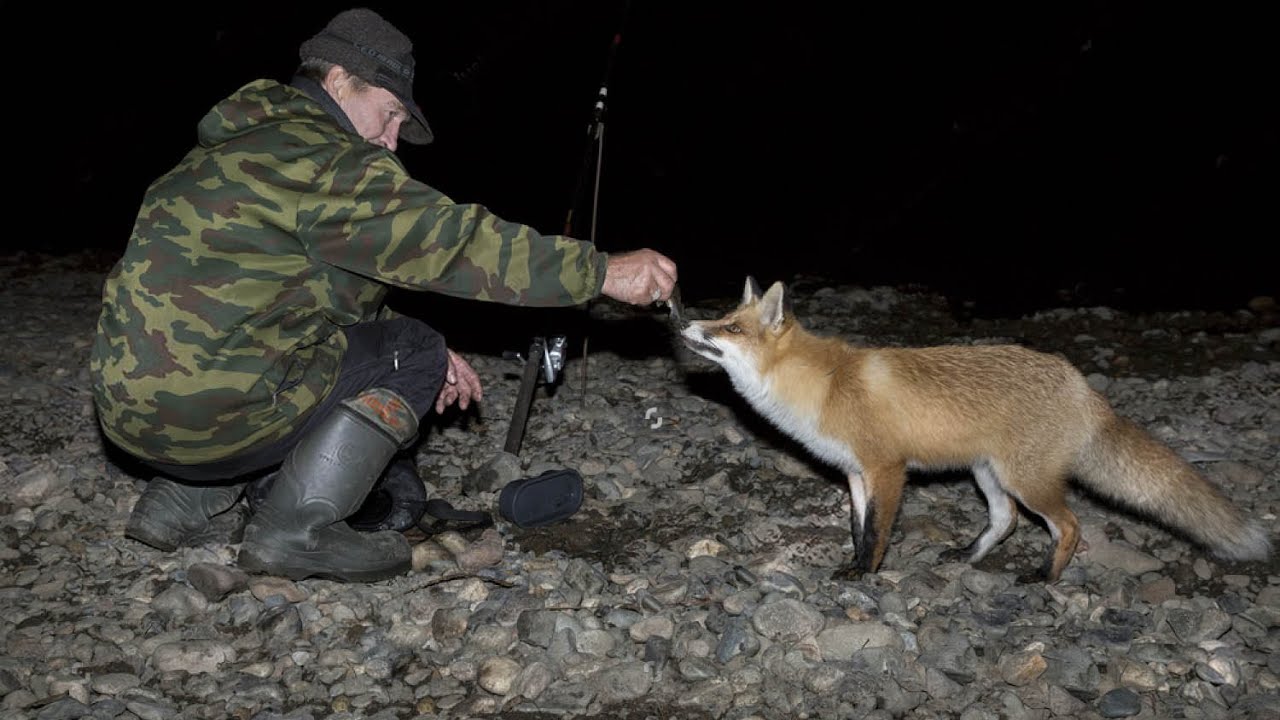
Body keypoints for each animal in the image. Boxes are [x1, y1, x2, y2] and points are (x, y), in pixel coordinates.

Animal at [680, 278, 1269, 579]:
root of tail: (1081, 384)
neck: (823, 386)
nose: (684, 320)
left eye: (730, 327)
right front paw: (855, 565)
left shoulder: (888, 469)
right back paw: (968, 557)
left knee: (1071, 525)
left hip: (1025, 480)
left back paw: (1045, 577)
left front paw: (864, 575)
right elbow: (856, 527)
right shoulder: (854, 473)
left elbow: (877, 532)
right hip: (989, 475)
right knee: (1005, 521)